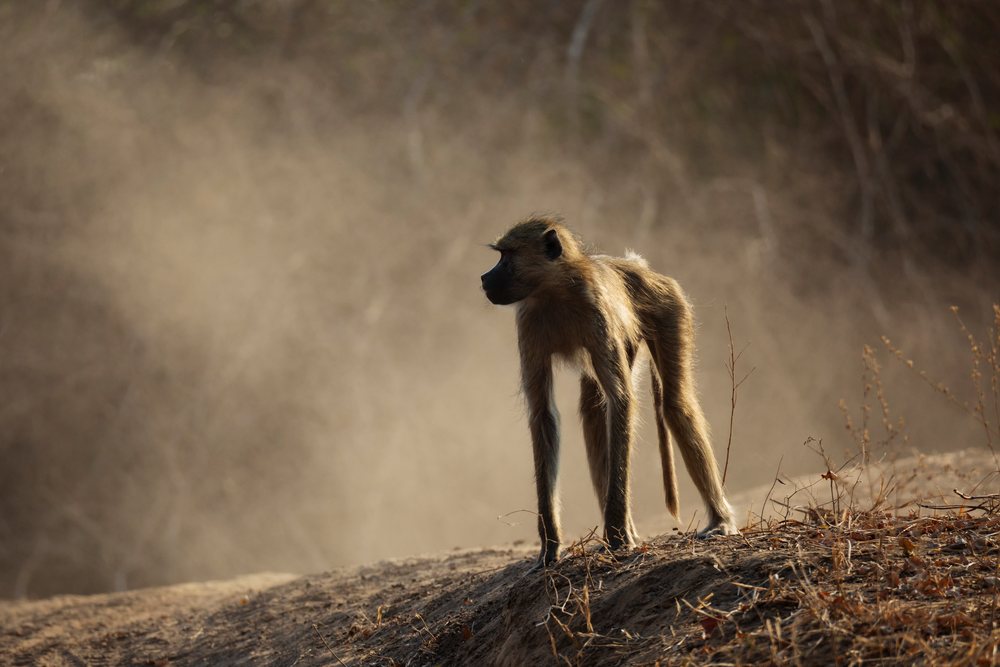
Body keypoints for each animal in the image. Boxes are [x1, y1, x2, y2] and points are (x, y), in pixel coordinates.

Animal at [481, 215, 737, 569]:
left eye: (507, 256)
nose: (484, 279)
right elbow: (544, 414)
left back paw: (720, 520)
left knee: (674, 404)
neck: (555, 291)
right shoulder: (528, 321)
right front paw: (550, 546)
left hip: (670, 307)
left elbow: (621, 399)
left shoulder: (596, 312)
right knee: (592, 410)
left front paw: (617, 536)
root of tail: (639, 267)